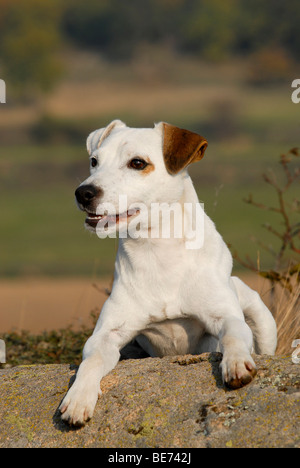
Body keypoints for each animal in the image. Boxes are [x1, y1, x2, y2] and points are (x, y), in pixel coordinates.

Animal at [59, 119, 278, 426]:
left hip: (261, 318)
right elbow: (90, 361)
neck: (159, 252)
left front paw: (235, 363)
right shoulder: (106, 335)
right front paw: (79, 397)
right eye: (94, 161)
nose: (84, 192)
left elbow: (233, 335)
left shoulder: (226, 317)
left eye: (137, 163)